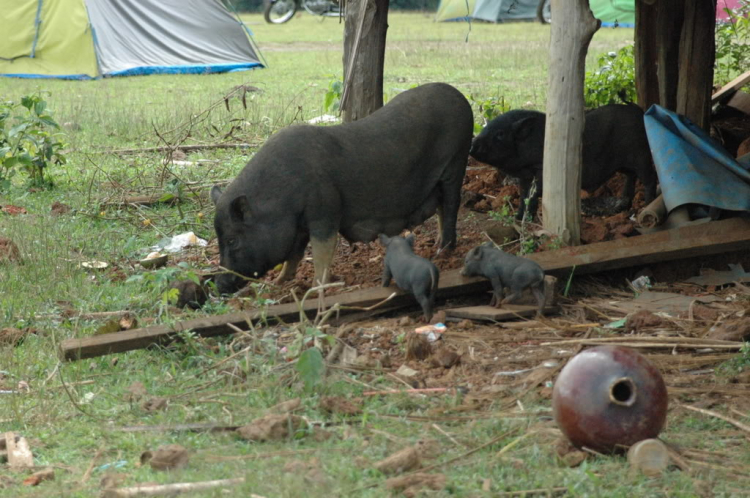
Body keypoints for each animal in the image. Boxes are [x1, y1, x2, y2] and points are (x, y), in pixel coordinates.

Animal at [209, 81, 472, 292]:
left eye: (232, 240)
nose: (220, 284)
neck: (280, 199)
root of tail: (459, 96)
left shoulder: (325, 210)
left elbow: (322, 251)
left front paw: (315, 289)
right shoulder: (299, 226)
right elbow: (294, 255)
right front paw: (280, 283)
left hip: (456, 160)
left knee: (451, 205)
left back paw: (443, 252)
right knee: (441, 207)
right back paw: (437, 246)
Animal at [470, 104, 656, 221]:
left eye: (500, 134)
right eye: (486, 127)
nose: (472, 144)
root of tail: (640, 112)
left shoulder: (540, 168)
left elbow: (533, 195)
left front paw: (527, 221)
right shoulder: (525, 176)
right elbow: (523, 196)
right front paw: (517, 218)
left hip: (642, 155)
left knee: (650, 179)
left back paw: (646, 207)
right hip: (625, 165)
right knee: (631, 177)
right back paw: (625, 205)